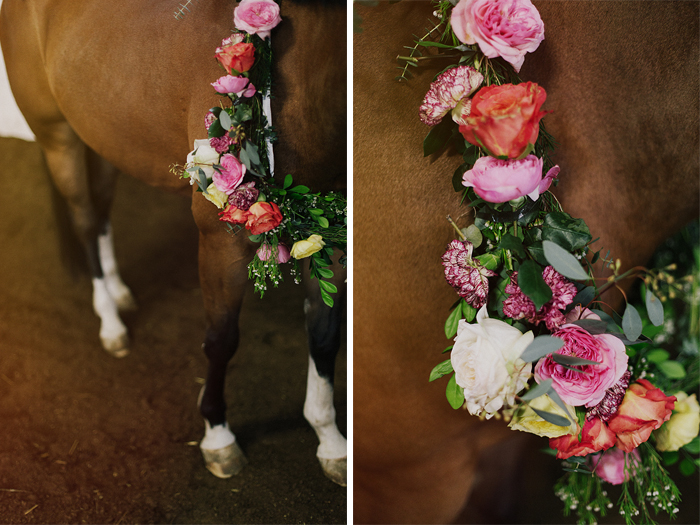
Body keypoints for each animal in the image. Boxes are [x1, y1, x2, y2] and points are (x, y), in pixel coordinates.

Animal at [0, 0, 348, 486]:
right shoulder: (220, 242)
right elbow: (221, 339)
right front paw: (218, 434)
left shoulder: (330, 236)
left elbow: (324, 336)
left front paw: (330, 439)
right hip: (57, 135)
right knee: (85, 220)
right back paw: (110, 319)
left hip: (105, 135)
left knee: (102, 212)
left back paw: (119, 291)